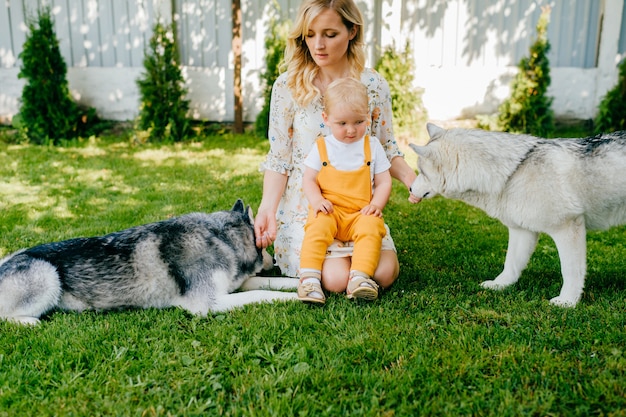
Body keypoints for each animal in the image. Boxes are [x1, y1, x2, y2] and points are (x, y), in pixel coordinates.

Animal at [0, 199, 298, 324]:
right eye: (267, 246)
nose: (274, 260)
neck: (220, 237)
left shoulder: (236, 283)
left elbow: (268, 284)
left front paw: (299, 283)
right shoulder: (207, 304)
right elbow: (262, 294)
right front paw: (295, 298)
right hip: (47, 275)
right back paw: (29, 322)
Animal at [408, 122, 624, 306]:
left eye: (422, 172)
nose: (409, 188)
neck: (512, 174)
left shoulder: (568, 228)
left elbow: (570, 271)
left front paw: (568, 302)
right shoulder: (521, 231)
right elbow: (511, 265)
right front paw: (499, 285)